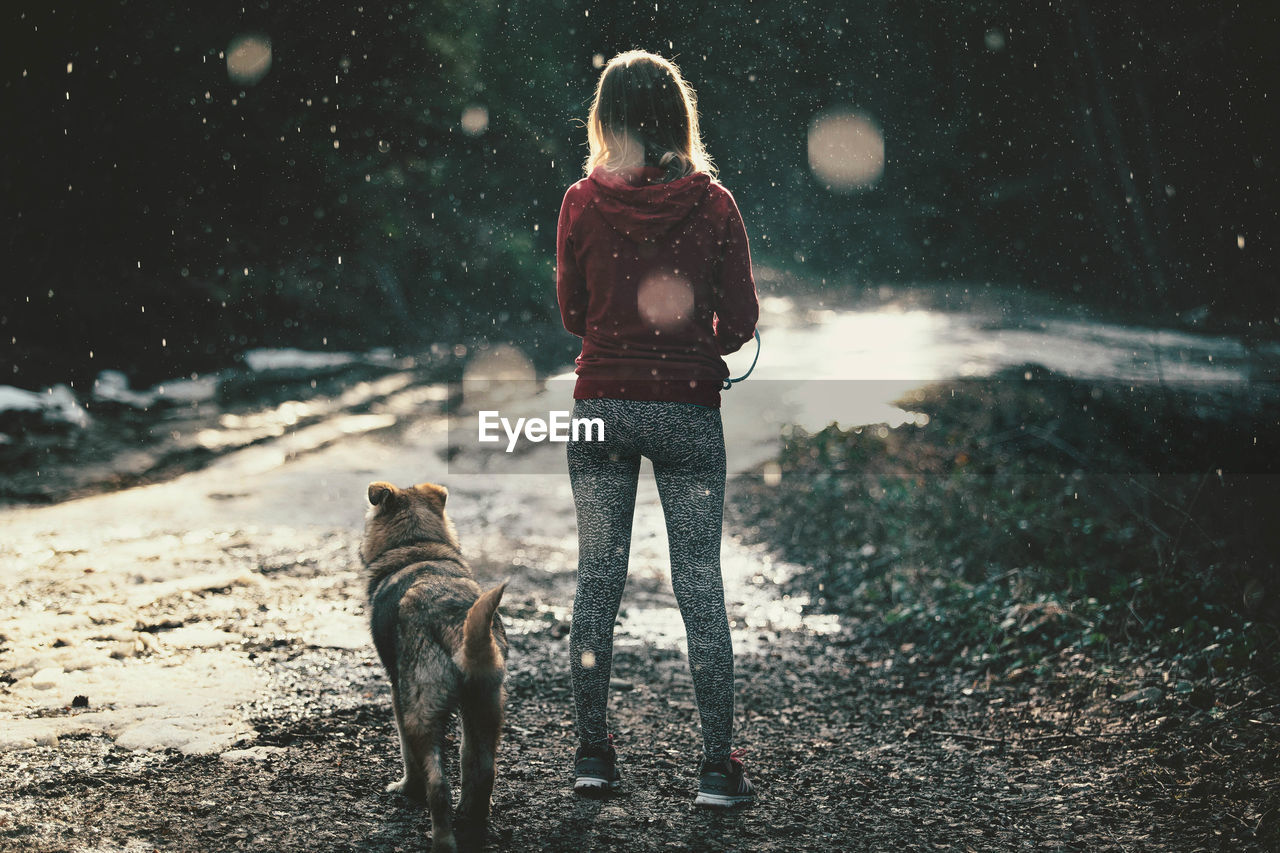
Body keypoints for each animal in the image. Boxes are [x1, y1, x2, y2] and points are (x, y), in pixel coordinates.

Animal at [360, 479, 504, 850]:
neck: (418, 548)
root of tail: (455, 620)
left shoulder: (397, 692)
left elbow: (406, 754)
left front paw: (406, 788)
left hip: (421, 710)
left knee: (438, 785)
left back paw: (442, 839)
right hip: (486, 705)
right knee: (483, 769)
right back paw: (474, 820)